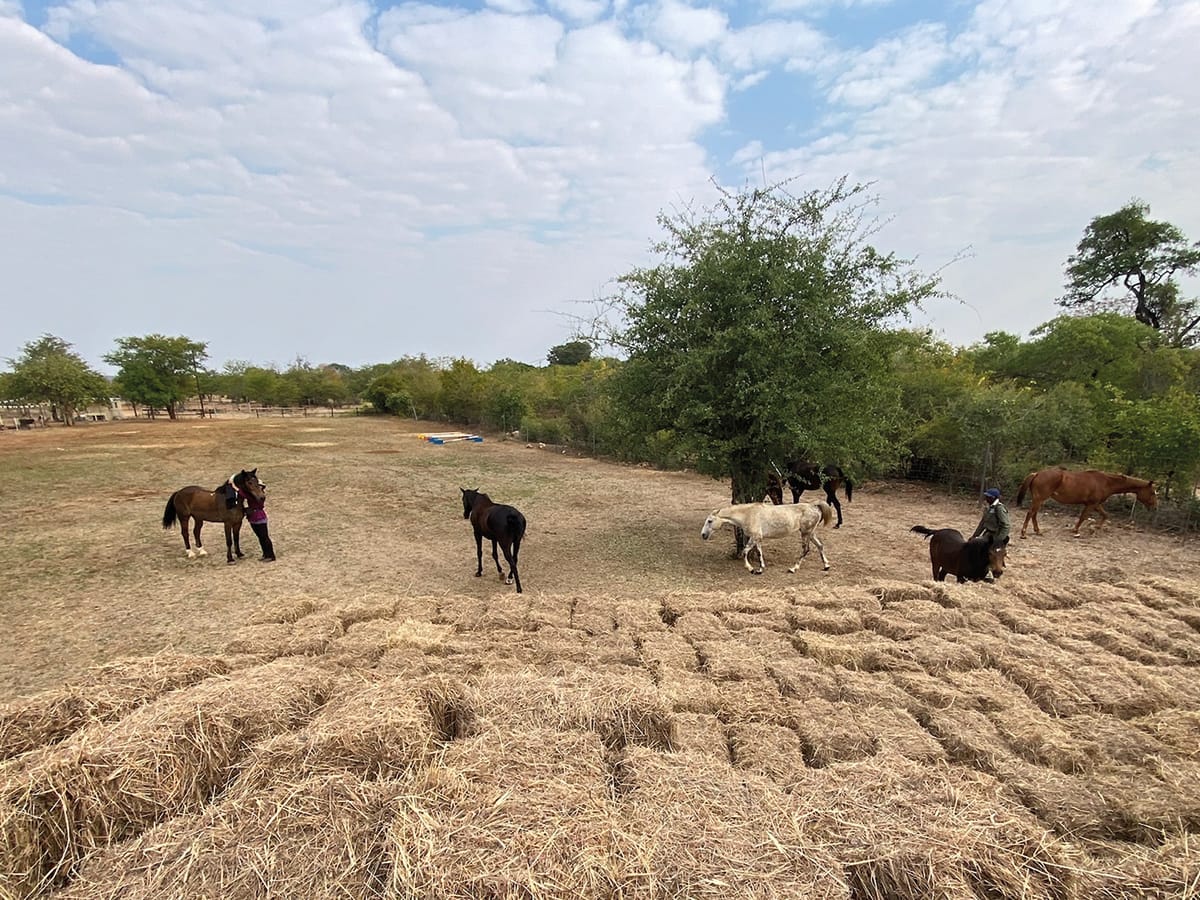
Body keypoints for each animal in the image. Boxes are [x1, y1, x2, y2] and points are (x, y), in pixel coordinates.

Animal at [701, 501, 833, 575]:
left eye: (710, 521)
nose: (703, 535)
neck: (748, 514)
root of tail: (814, 506)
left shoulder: (755, 537)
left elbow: (744, 552)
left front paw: (751, 569)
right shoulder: (757, 539)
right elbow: (759, 553)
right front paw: (760, 569)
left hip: (805, 533)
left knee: (806, 550)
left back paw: (793, 568)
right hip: (810, 533)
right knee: (820, 546)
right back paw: (826, 566)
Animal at [1015, 467, 1158, 538]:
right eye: (1152, 492)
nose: (1155, 507)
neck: (1106, 482)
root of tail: (1037, 474)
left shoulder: (1096, 504)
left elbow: (1105, 515)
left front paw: (1096, 528)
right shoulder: (1091, 504)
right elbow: (1083, 517)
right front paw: (1076, 530)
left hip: (1039, 500)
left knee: (1033, 514)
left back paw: (1038, 531)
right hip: (1039, 499)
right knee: (1030, 513)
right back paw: (1023, 533)